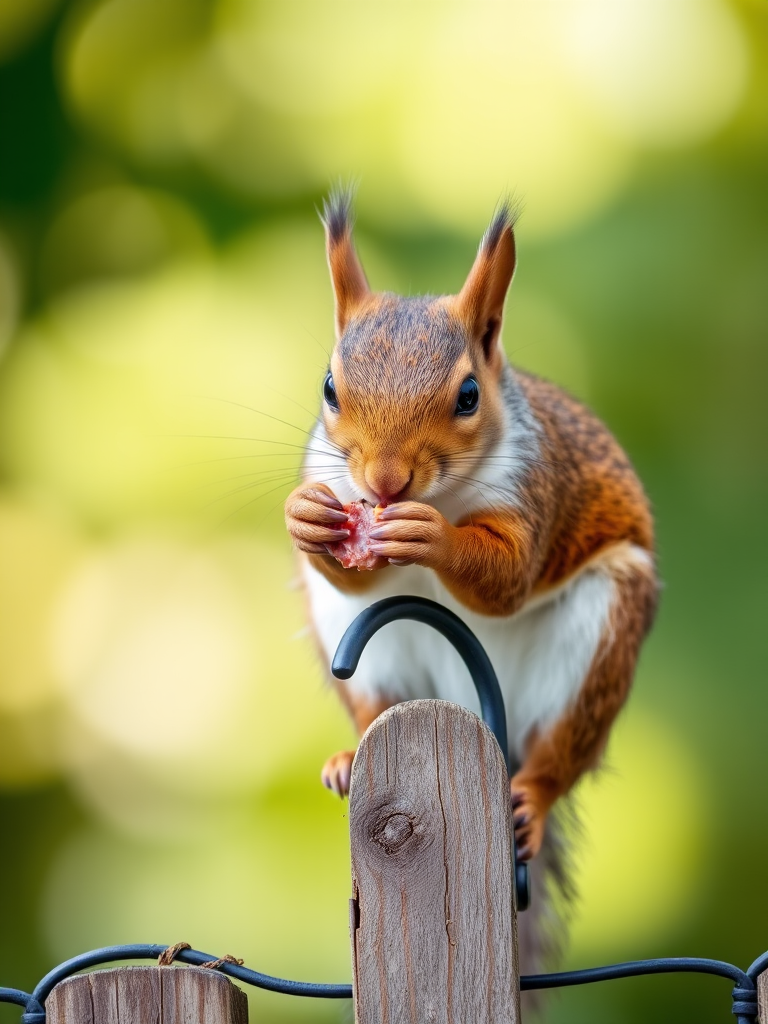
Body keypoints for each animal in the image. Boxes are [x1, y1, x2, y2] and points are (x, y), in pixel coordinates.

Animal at [285, 191, 659, 973]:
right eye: (329, 388)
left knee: (558, 753)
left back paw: (532, 797)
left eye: (466, 395)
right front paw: (305, 517)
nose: (384, 483)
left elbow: (508, 577)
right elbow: (351, 575)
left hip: (600, 631)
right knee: (374, 707)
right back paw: (348, 759)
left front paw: (433, 537)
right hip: (364, 654)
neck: (444, 494)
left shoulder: (534, 493)